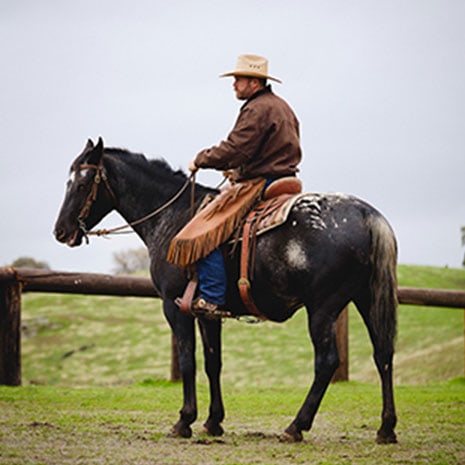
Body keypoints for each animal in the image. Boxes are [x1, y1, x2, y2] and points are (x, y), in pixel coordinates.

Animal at [53, 137, 396, 442]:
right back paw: (386, 428)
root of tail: (367, 215)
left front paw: (184, 420)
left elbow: (188, 360)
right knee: (383, 354)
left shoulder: (174, 306)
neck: (174, 217)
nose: (60, 231)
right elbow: (212, 362)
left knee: (326, 361)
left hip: (323, 308)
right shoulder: (207, 312)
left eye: (81, 184)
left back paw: (295, 427)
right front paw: (213, 421)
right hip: (366, 298)